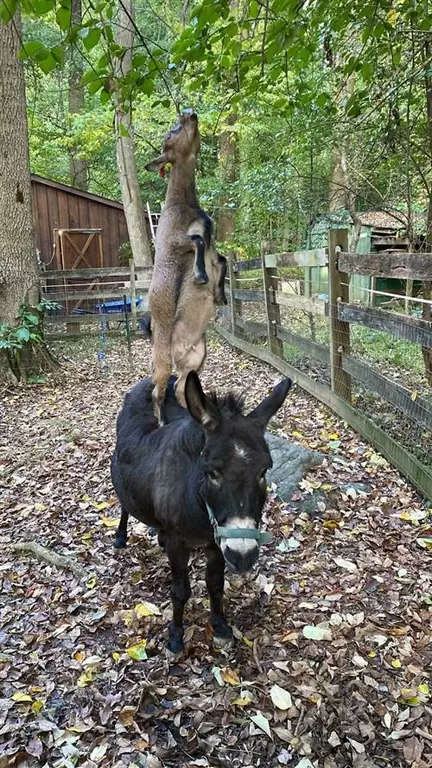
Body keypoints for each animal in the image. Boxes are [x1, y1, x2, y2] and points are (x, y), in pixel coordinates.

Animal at [110, 368, 294, 652]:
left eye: (264, 470)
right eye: (212, 473)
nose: (243, 556)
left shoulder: (216, 542)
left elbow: (215, 584)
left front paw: (219, 625)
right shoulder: (179, 544)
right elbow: (180, 591)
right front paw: (175, 637)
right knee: (124, 504)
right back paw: (121, 537)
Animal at [146, 110, 226, 420]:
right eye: (170, 132)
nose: (190, 113)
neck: (183, 205)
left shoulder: (214, 250)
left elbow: (223, 259)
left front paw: (220, 294)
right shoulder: (173, 242)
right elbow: (197, 240)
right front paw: (201, 277)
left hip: (196, 359)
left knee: (181, 388)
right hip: (162, 358)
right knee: (156, 392)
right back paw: (161, 422)